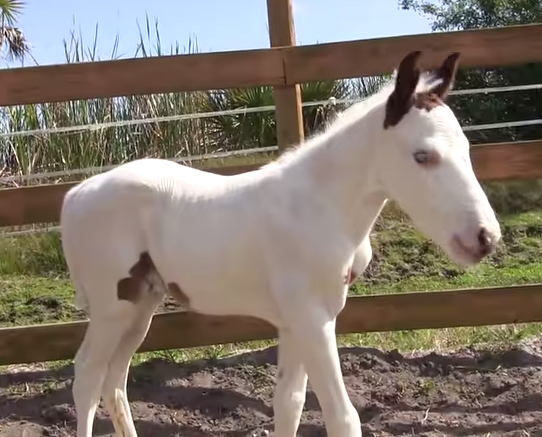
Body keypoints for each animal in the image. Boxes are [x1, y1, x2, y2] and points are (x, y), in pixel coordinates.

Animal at [61, 49, 504, 434]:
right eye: (422, 156)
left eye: (466, 149)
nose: (485, 237)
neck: (320, 206)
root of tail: (75, 194)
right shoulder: (313, 317)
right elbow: (341, 416)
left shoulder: (296, 321)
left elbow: (289, 402)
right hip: (111, 308)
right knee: (87, 376)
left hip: (140, 305)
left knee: (114, 380)